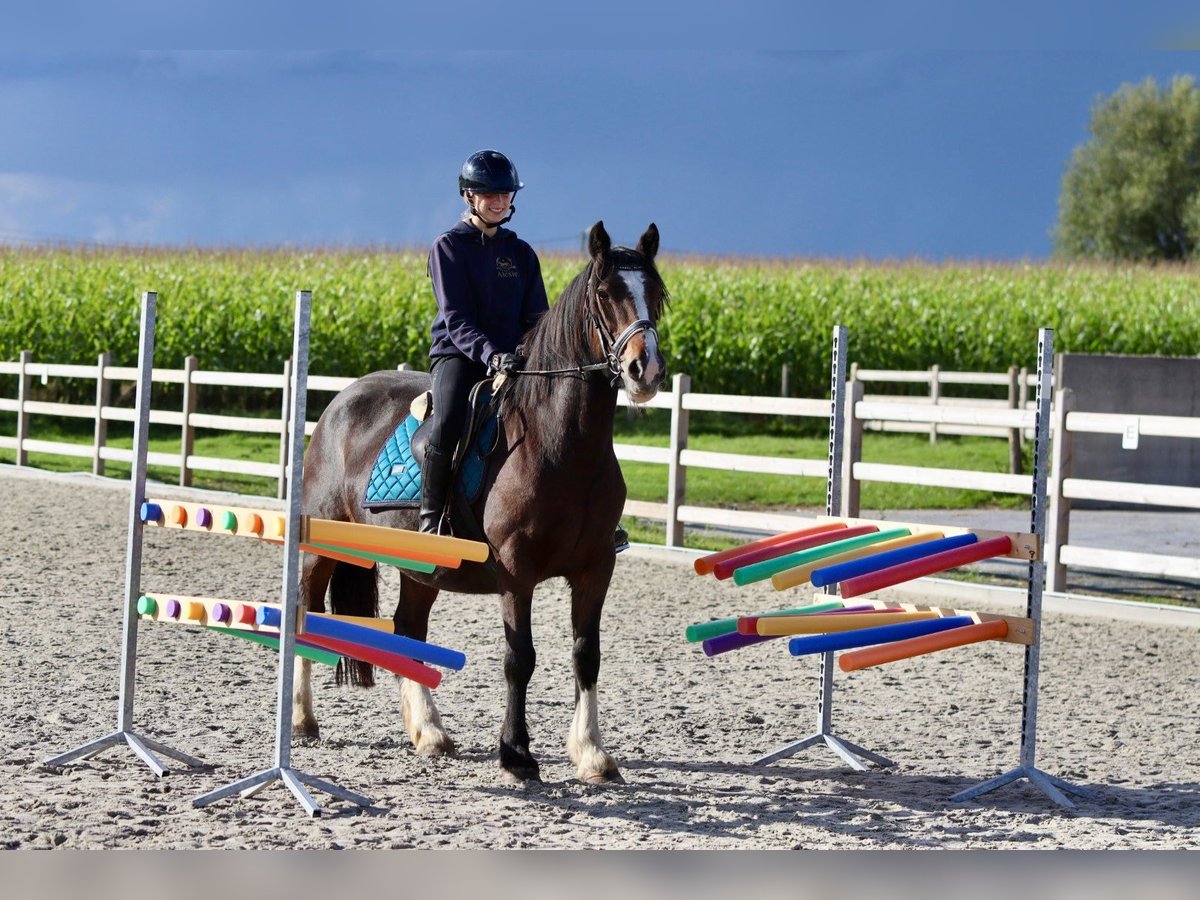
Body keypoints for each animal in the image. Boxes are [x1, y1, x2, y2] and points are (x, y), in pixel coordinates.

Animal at [290, 218, 667, 782]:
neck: (559, 444)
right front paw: (516, 755)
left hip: (419, 568)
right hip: (324, 551)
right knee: (307, 614)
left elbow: (586, 654)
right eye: (605, 293)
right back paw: (302, 721)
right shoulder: (516, 570)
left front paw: (592, 754)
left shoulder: (596, 566)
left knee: (409, 627)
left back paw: (429, 732)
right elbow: (519, 658)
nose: (646, 369)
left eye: (656, 294)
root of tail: (341, 401)